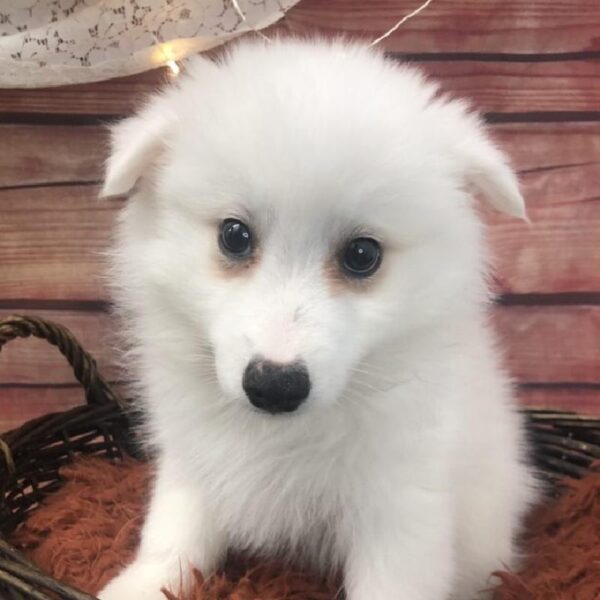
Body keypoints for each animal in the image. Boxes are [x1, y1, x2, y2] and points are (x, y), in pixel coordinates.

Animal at [98, 38, 540, 600]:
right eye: (234, 236)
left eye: (362, 255)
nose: (274, 385)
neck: (282, 433)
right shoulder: (192, 456)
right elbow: (175, 532)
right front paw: (139, 583)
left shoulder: (400, 503)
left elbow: (392, 581)